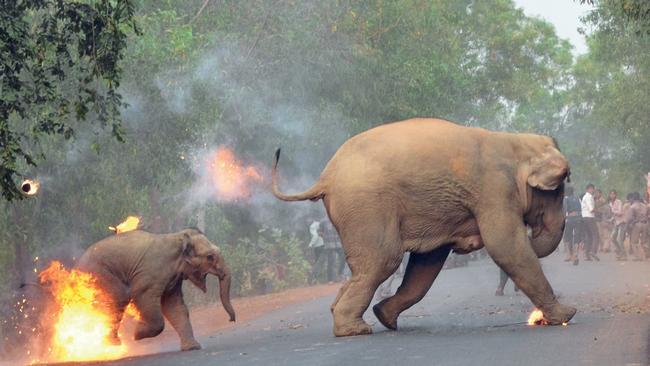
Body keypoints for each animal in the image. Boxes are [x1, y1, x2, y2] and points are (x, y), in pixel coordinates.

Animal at [75, 227, 234, 350]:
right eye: (210, 257)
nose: (231, 320)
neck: (178, 237)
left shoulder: (173, 280)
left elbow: (174, 306)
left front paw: (193, 348)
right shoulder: (151, 273)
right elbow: (142, 295)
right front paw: (137, 334)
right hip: (100, 273)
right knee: (120, 297)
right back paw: (112, 344)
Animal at [270, 118, 576, 338]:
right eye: (558, 190)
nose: (534, 234)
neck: (515, 141)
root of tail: (326, 177)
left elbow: (428, 262)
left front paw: (385, 315)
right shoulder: (494, 190)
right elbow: (506, 246)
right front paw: (566, 315)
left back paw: (360, 317)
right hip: (366, 205)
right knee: (384, 259)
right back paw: (354, 330)